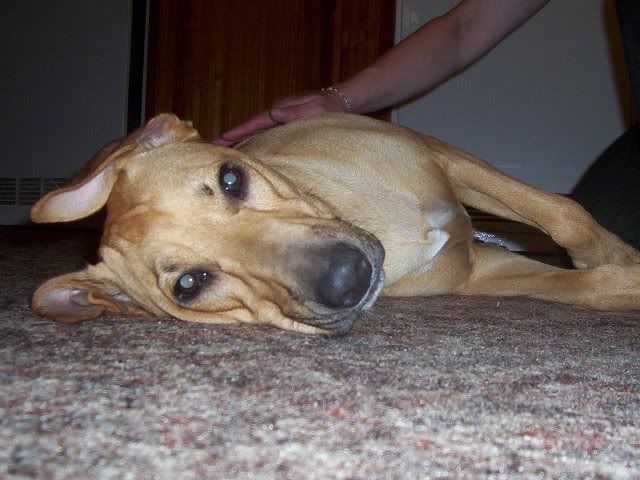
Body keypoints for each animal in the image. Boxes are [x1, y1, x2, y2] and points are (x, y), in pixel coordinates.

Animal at [30, 113, 640, 334]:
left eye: (231, 178)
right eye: (189, 284)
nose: (348, 280)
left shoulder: (445, 157)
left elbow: (564, 214)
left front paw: (611, 253)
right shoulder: (479, 273)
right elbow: (581, 288)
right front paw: (623, 278)